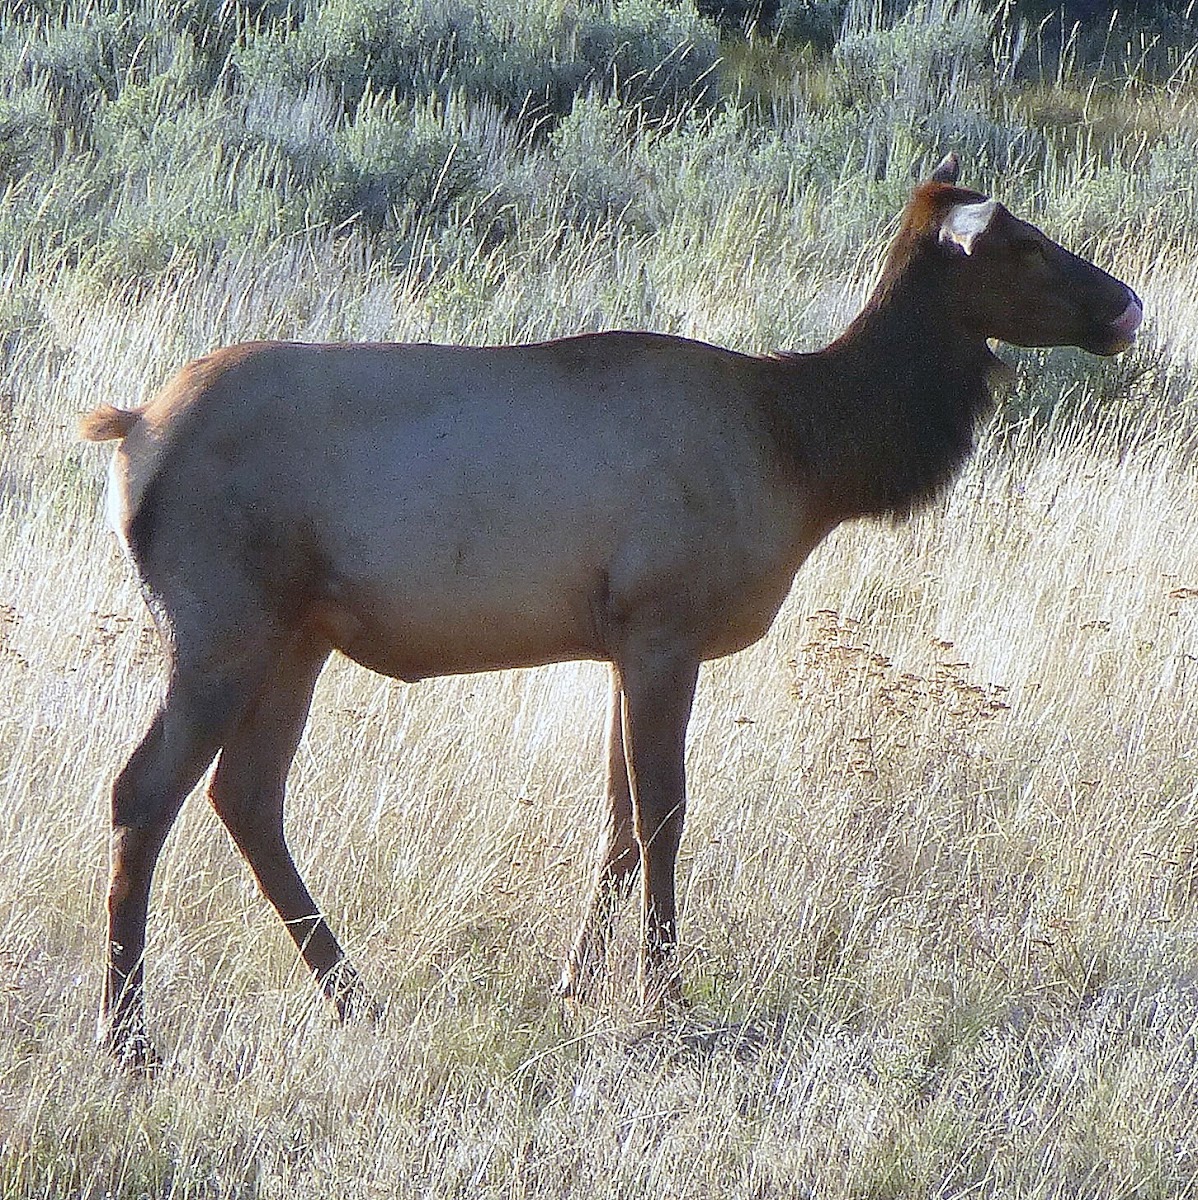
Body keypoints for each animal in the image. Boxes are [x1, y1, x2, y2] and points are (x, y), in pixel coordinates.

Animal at [84, 154, 1142, 1065]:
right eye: (1024, 243)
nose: (1128, 303)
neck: (805, 456)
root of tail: (131, 436)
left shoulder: (623, 644)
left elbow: (618, 821)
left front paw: (575, 984)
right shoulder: (665, 625)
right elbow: (665, 811)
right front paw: (663, 989)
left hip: (297, 638)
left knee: (246, 797)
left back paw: (357, 997)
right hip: (221, 625)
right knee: (145, 792)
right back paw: (129, 1037)